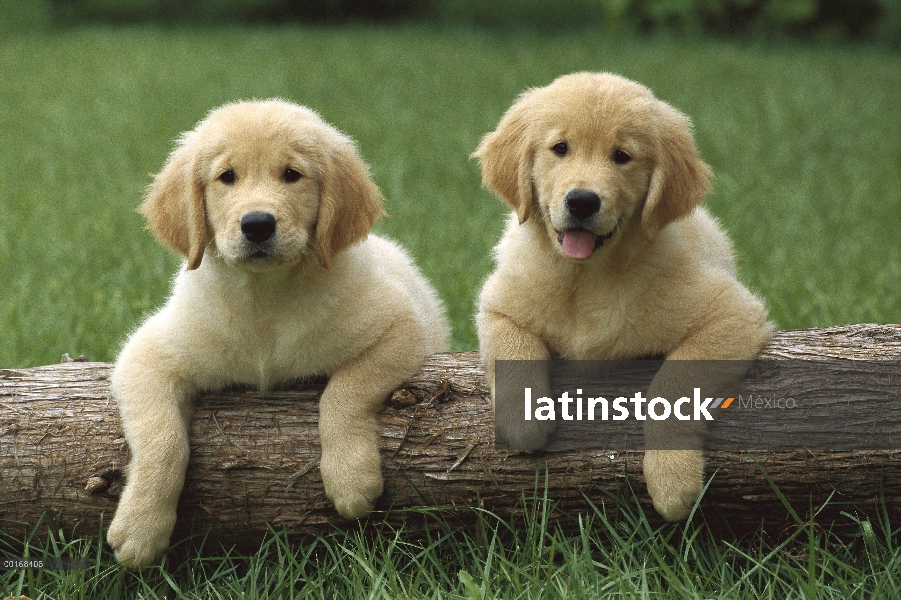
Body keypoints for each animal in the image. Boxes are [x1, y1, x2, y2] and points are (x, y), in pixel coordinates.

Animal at [107, 99, 450, 568]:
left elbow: (344, 392)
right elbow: (162, 439)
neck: (263, 302)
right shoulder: (146, 357)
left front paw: (350, 478)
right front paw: (140, 528)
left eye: (291, 174)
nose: (257, 224)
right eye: (227, 176)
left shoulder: (399, 327)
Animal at [474, 70, 768, 520]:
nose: (582, 201)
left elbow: (674, 386)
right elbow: (512, 344)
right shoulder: (498, 302)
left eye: (622, 156)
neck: (585, 278)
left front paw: (672, 481)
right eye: (560, 148)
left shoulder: (732, 313)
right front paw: (524, 421)